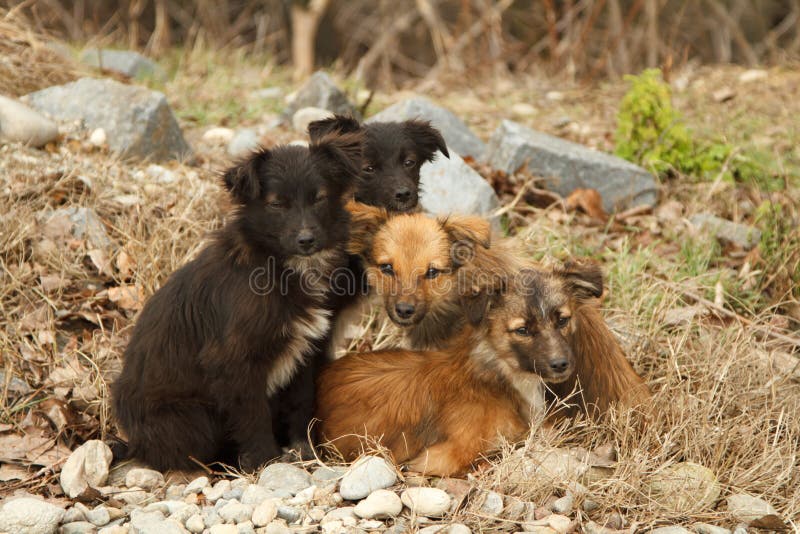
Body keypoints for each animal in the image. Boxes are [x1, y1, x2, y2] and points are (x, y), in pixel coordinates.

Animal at [112, 132, 362, 472]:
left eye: (319, 198)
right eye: (276, 204)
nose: (306, 241)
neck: (280, 265)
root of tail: (134, 442)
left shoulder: (304, 351)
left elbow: (301, 403)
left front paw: (304, 451)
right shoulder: (233, 362)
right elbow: (253, 417)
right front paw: (266, 462)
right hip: (194, 416)